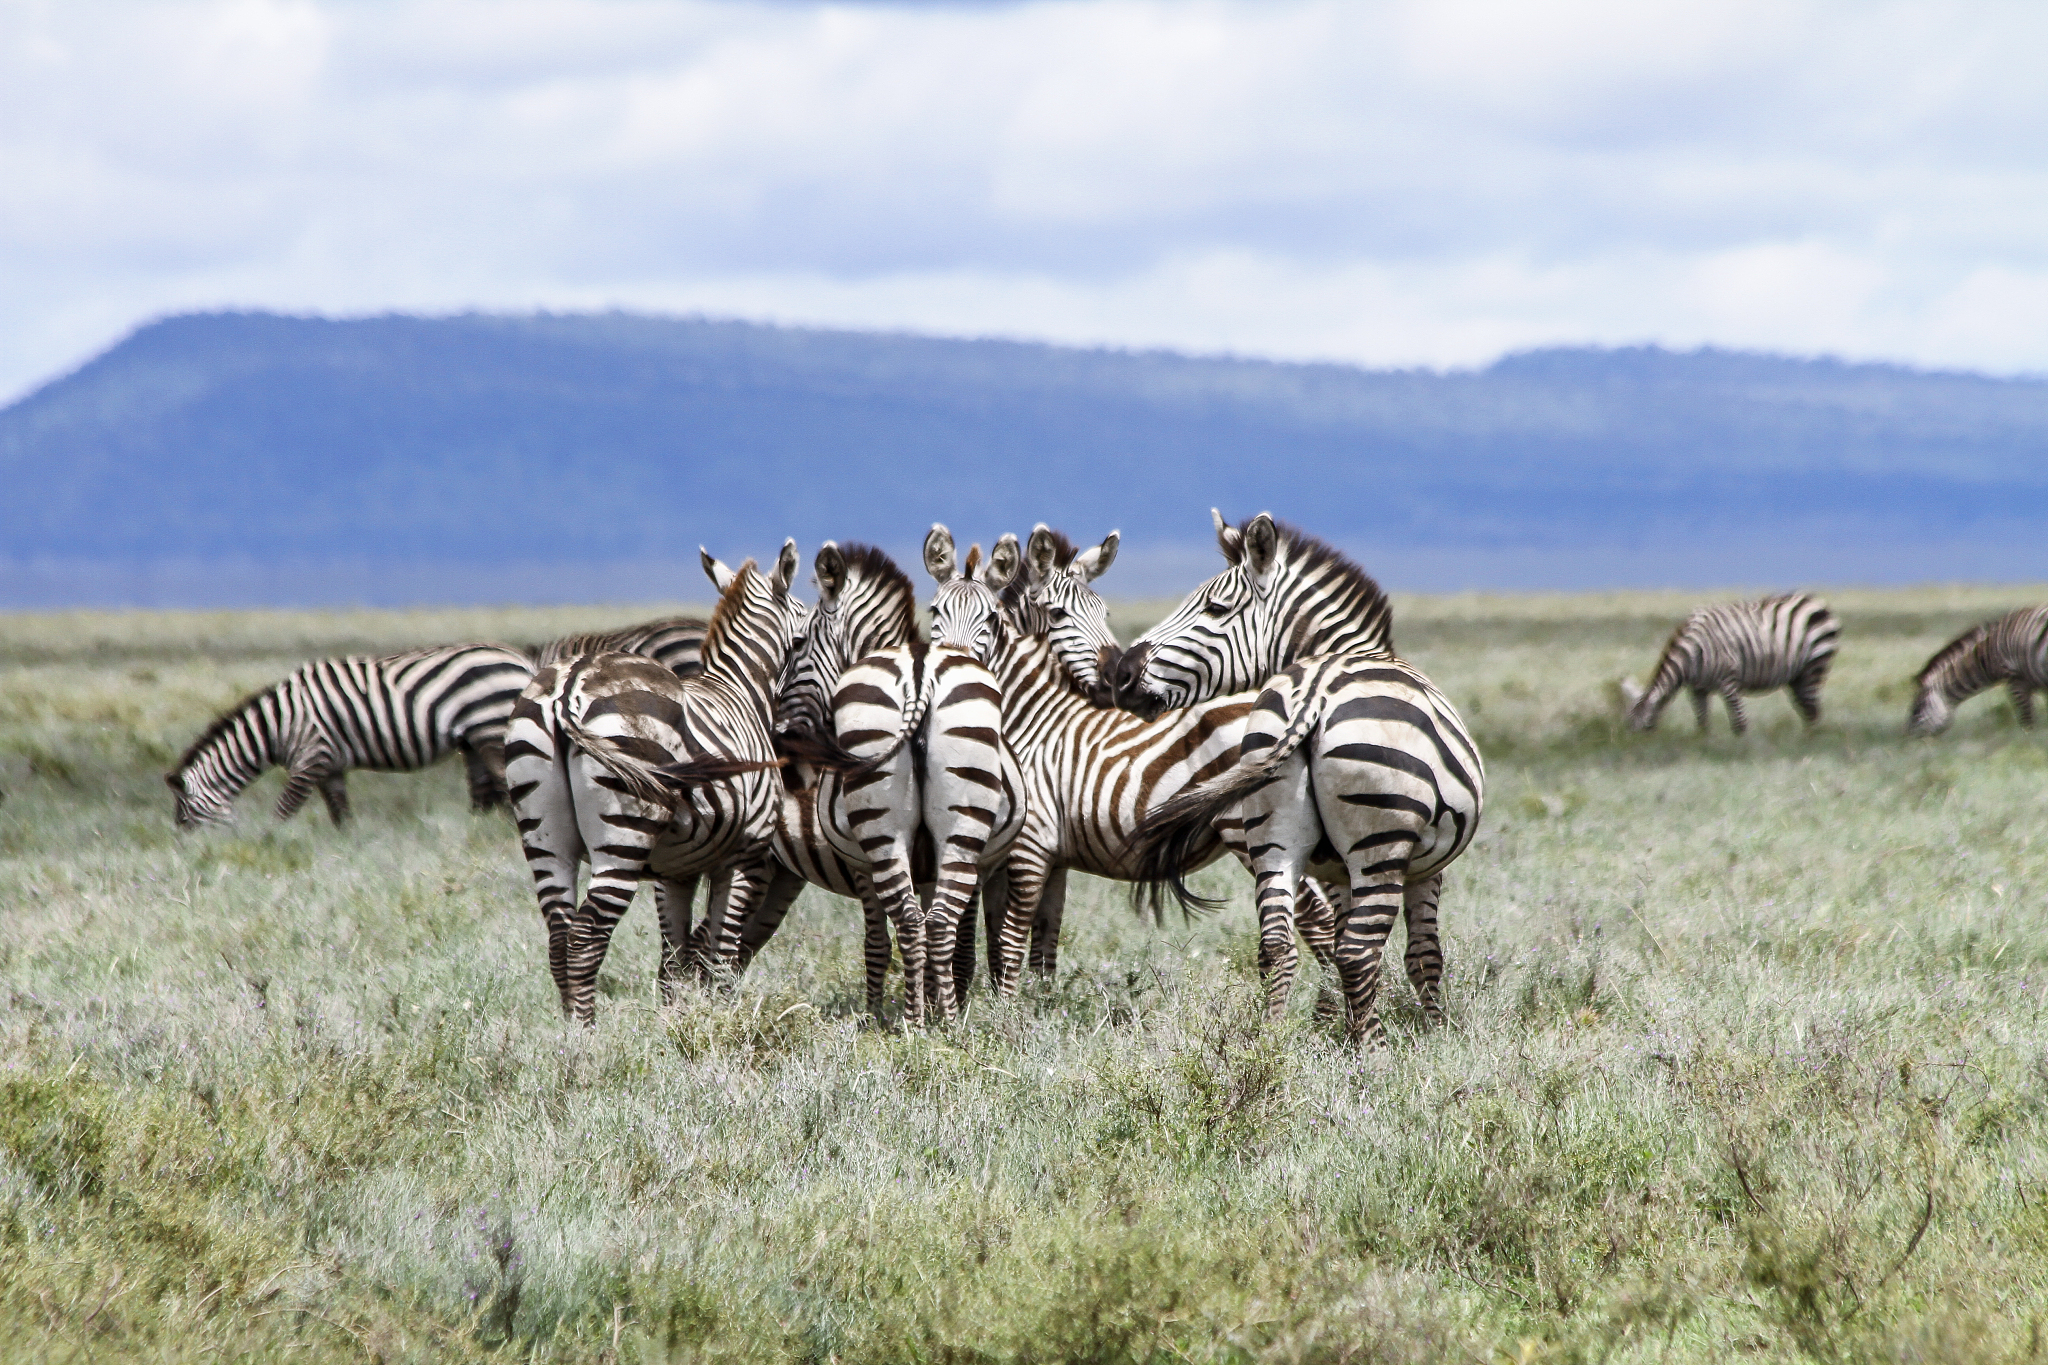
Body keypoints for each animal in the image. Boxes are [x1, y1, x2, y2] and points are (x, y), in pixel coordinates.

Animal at [167, 644, 535, 829]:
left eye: (185, 819)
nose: (190, 855)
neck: (277, 727)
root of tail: (521, 660)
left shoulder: (310, 758)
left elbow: (283, 812)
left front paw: (270, 843)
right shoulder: (330, 766)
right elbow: (341, 815)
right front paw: (348, 850)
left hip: (491, 726)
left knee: (507, 784)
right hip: (472, 739)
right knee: (485, 793)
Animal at [1119, 512, 1482, 1047]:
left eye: (1213, 607)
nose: (1121, 674)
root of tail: (1315, 689)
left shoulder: (1332, 869)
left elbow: (1333, 939)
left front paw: (1336, 1027)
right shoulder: (1426, 866)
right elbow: (1423, 956)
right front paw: (1437, 1034)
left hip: (1272, 832)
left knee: (1276, 945)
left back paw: (1270, 1047)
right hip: (1380, 843)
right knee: (1358, 952)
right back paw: (1372, 1051)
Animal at [1621, 592, 1839, 735]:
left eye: (1643, 727)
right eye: (1629, 725)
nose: (1631, 746)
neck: (1692, 655)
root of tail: (1813, 599)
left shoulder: (1729, 681)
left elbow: (1739, 723)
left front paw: (1740, 751)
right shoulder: (1697, 689)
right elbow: (1702, 723)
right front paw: (1704, 746)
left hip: (1815, 664)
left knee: (1812, 710)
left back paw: (1808, 740)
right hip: (1797, 676)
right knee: (1806, 708)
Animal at [1908, 606, 2048, 735]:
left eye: (1916, 710)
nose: (1907, 737)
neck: (1988, 653)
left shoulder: (2017, 681)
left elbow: (2027, 721)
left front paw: (2029, 739)